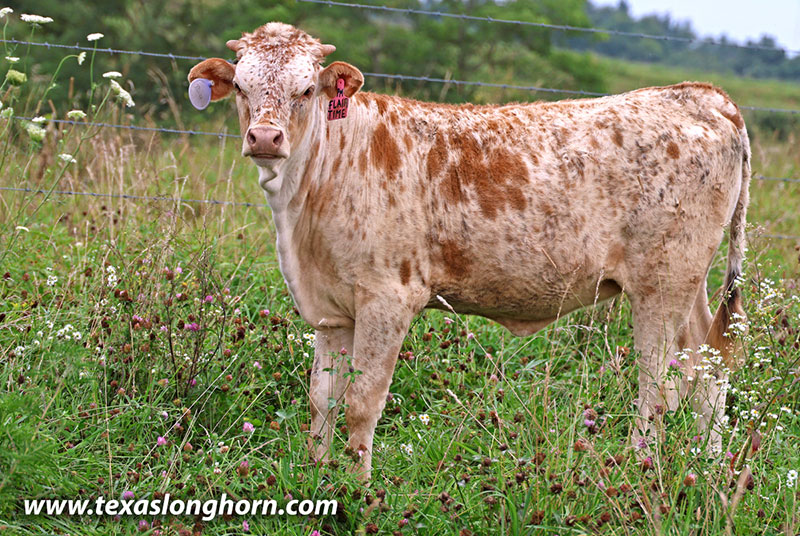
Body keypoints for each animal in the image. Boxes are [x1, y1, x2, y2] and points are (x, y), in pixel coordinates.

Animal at [189, 22, 749, 480]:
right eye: (241, 87)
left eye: (305, 90)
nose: (265, 137)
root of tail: (701, 95)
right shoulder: (331, 310)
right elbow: (321, 401)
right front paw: (319, 478)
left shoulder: (387, 299)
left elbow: (362, 403)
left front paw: (359, 489)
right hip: (688, 284)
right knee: (707, 368)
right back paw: (709, 466)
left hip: (662, 285)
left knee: (658, 385)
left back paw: (641, 470)